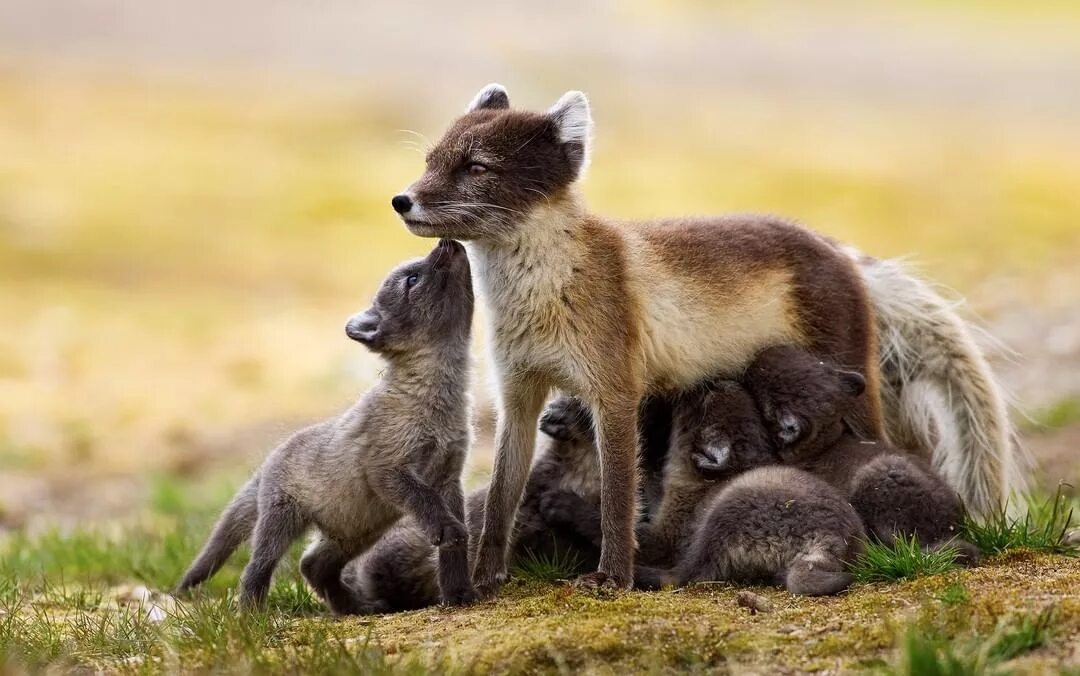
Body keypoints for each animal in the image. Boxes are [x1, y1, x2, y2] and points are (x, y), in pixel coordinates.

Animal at [393, 83, 1015, 587]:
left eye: (477, 167)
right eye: (430, 160)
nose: (402, 199)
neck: (544, 293)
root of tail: (833, 246)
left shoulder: (615, 394)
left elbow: (618, 500)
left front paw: (611, 579)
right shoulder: (518, 393)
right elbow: (502, 496)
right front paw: (485, 579)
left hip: (852, 388)